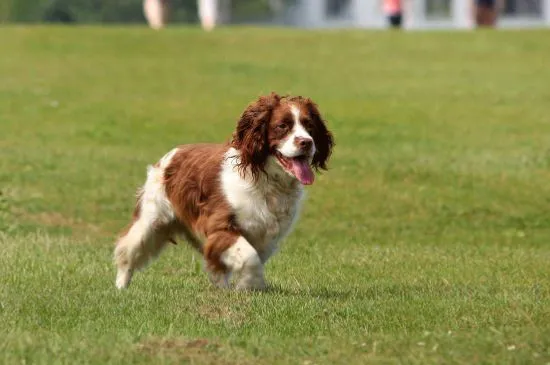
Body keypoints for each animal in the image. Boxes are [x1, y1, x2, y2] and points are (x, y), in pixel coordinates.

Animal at [114, 91, 334, 290]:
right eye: (282, 126)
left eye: (309, 126)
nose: (307, 142)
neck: (267, 182)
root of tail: (172, 154)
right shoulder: (220, 227)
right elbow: (249, 258)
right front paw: (250, 286)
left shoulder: (266, 237)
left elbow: (247, 258)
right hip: (151, 221)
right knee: (127, 251)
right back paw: (121, 287)